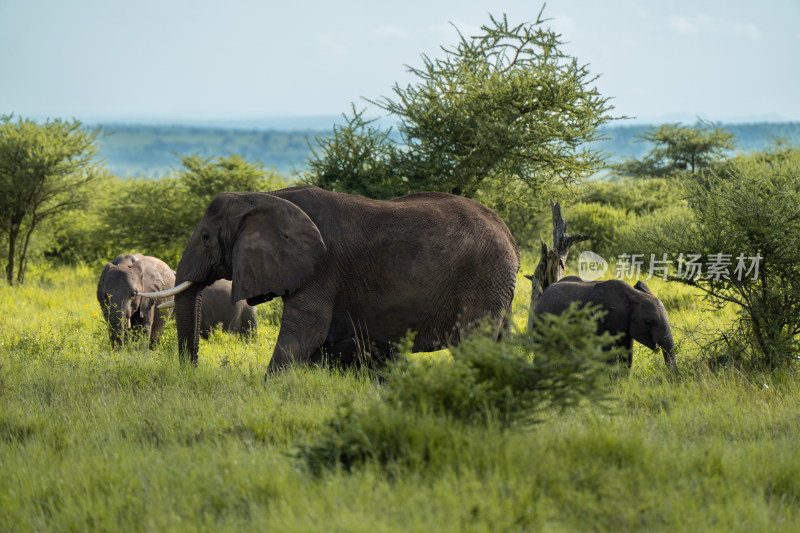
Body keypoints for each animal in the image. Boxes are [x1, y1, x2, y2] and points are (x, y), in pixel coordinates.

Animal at [141, 186, 520, 370]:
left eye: (206, 237)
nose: (193, 372)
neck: (264, 197)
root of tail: (507, 231)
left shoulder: (322, 268)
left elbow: (306, 332)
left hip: (484, 277)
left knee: (473, 345)